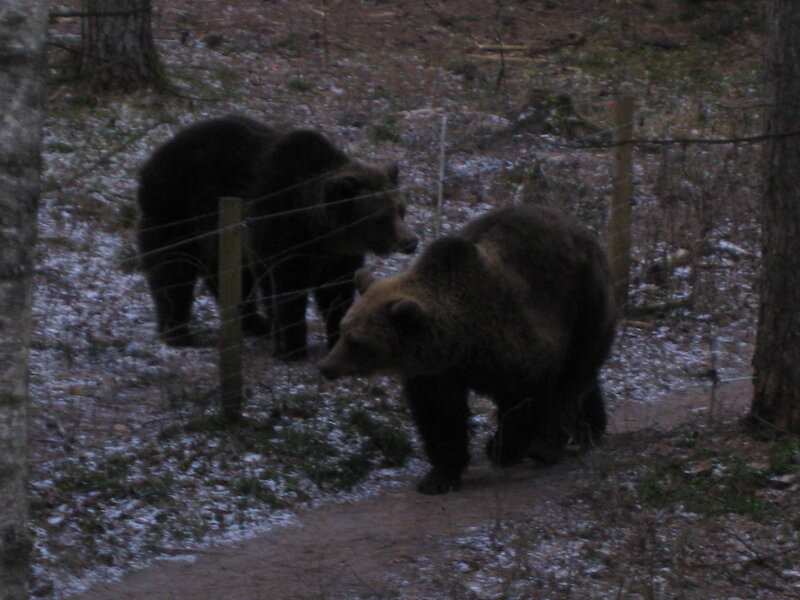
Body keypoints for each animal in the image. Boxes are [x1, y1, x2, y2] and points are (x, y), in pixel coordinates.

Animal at [136, 115, 418, 359]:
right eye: (382, 217)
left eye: (400, 210)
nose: (411, 241)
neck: (317, 230)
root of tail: (154, 156)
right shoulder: (279, 232)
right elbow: (287, 290)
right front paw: (292, 347)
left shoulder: (337, 257)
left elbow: (336, 294)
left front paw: (338, 338)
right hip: (175, 209)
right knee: (172, 269)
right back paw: (177, 331)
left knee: (228, 275)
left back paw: (254, 323)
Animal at [318, 204, 616, 494]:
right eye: (344, 330)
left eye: (357, 341)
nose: (327, 366)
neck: (462, 343)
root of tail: (583, 231)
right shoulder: (437, 372)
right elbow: (441, 417)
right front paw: (439, 477)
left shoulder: (517, 347)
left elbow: (526, 400)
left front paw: (501, 449)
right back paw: (591, 428)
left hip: (584, 303)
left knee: (573, 376)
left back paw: (549, 445)